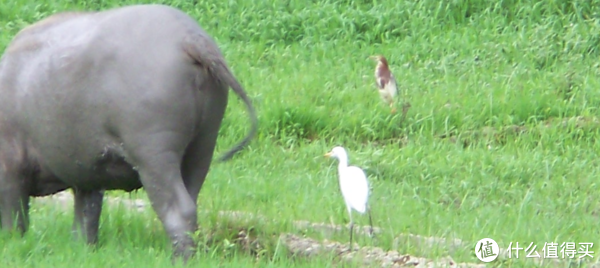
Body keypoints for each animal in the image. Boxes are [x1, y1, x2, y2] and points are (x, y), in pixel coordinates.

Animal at [0, 3, 255, 260]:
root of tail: (190, 39)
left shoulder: (11, 171)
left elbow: (15, 220)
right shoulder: (88, 177)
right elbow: (86, 217)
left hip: (155, 158)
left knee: (178, 210)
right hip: (201, 148)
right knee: (192, 203)